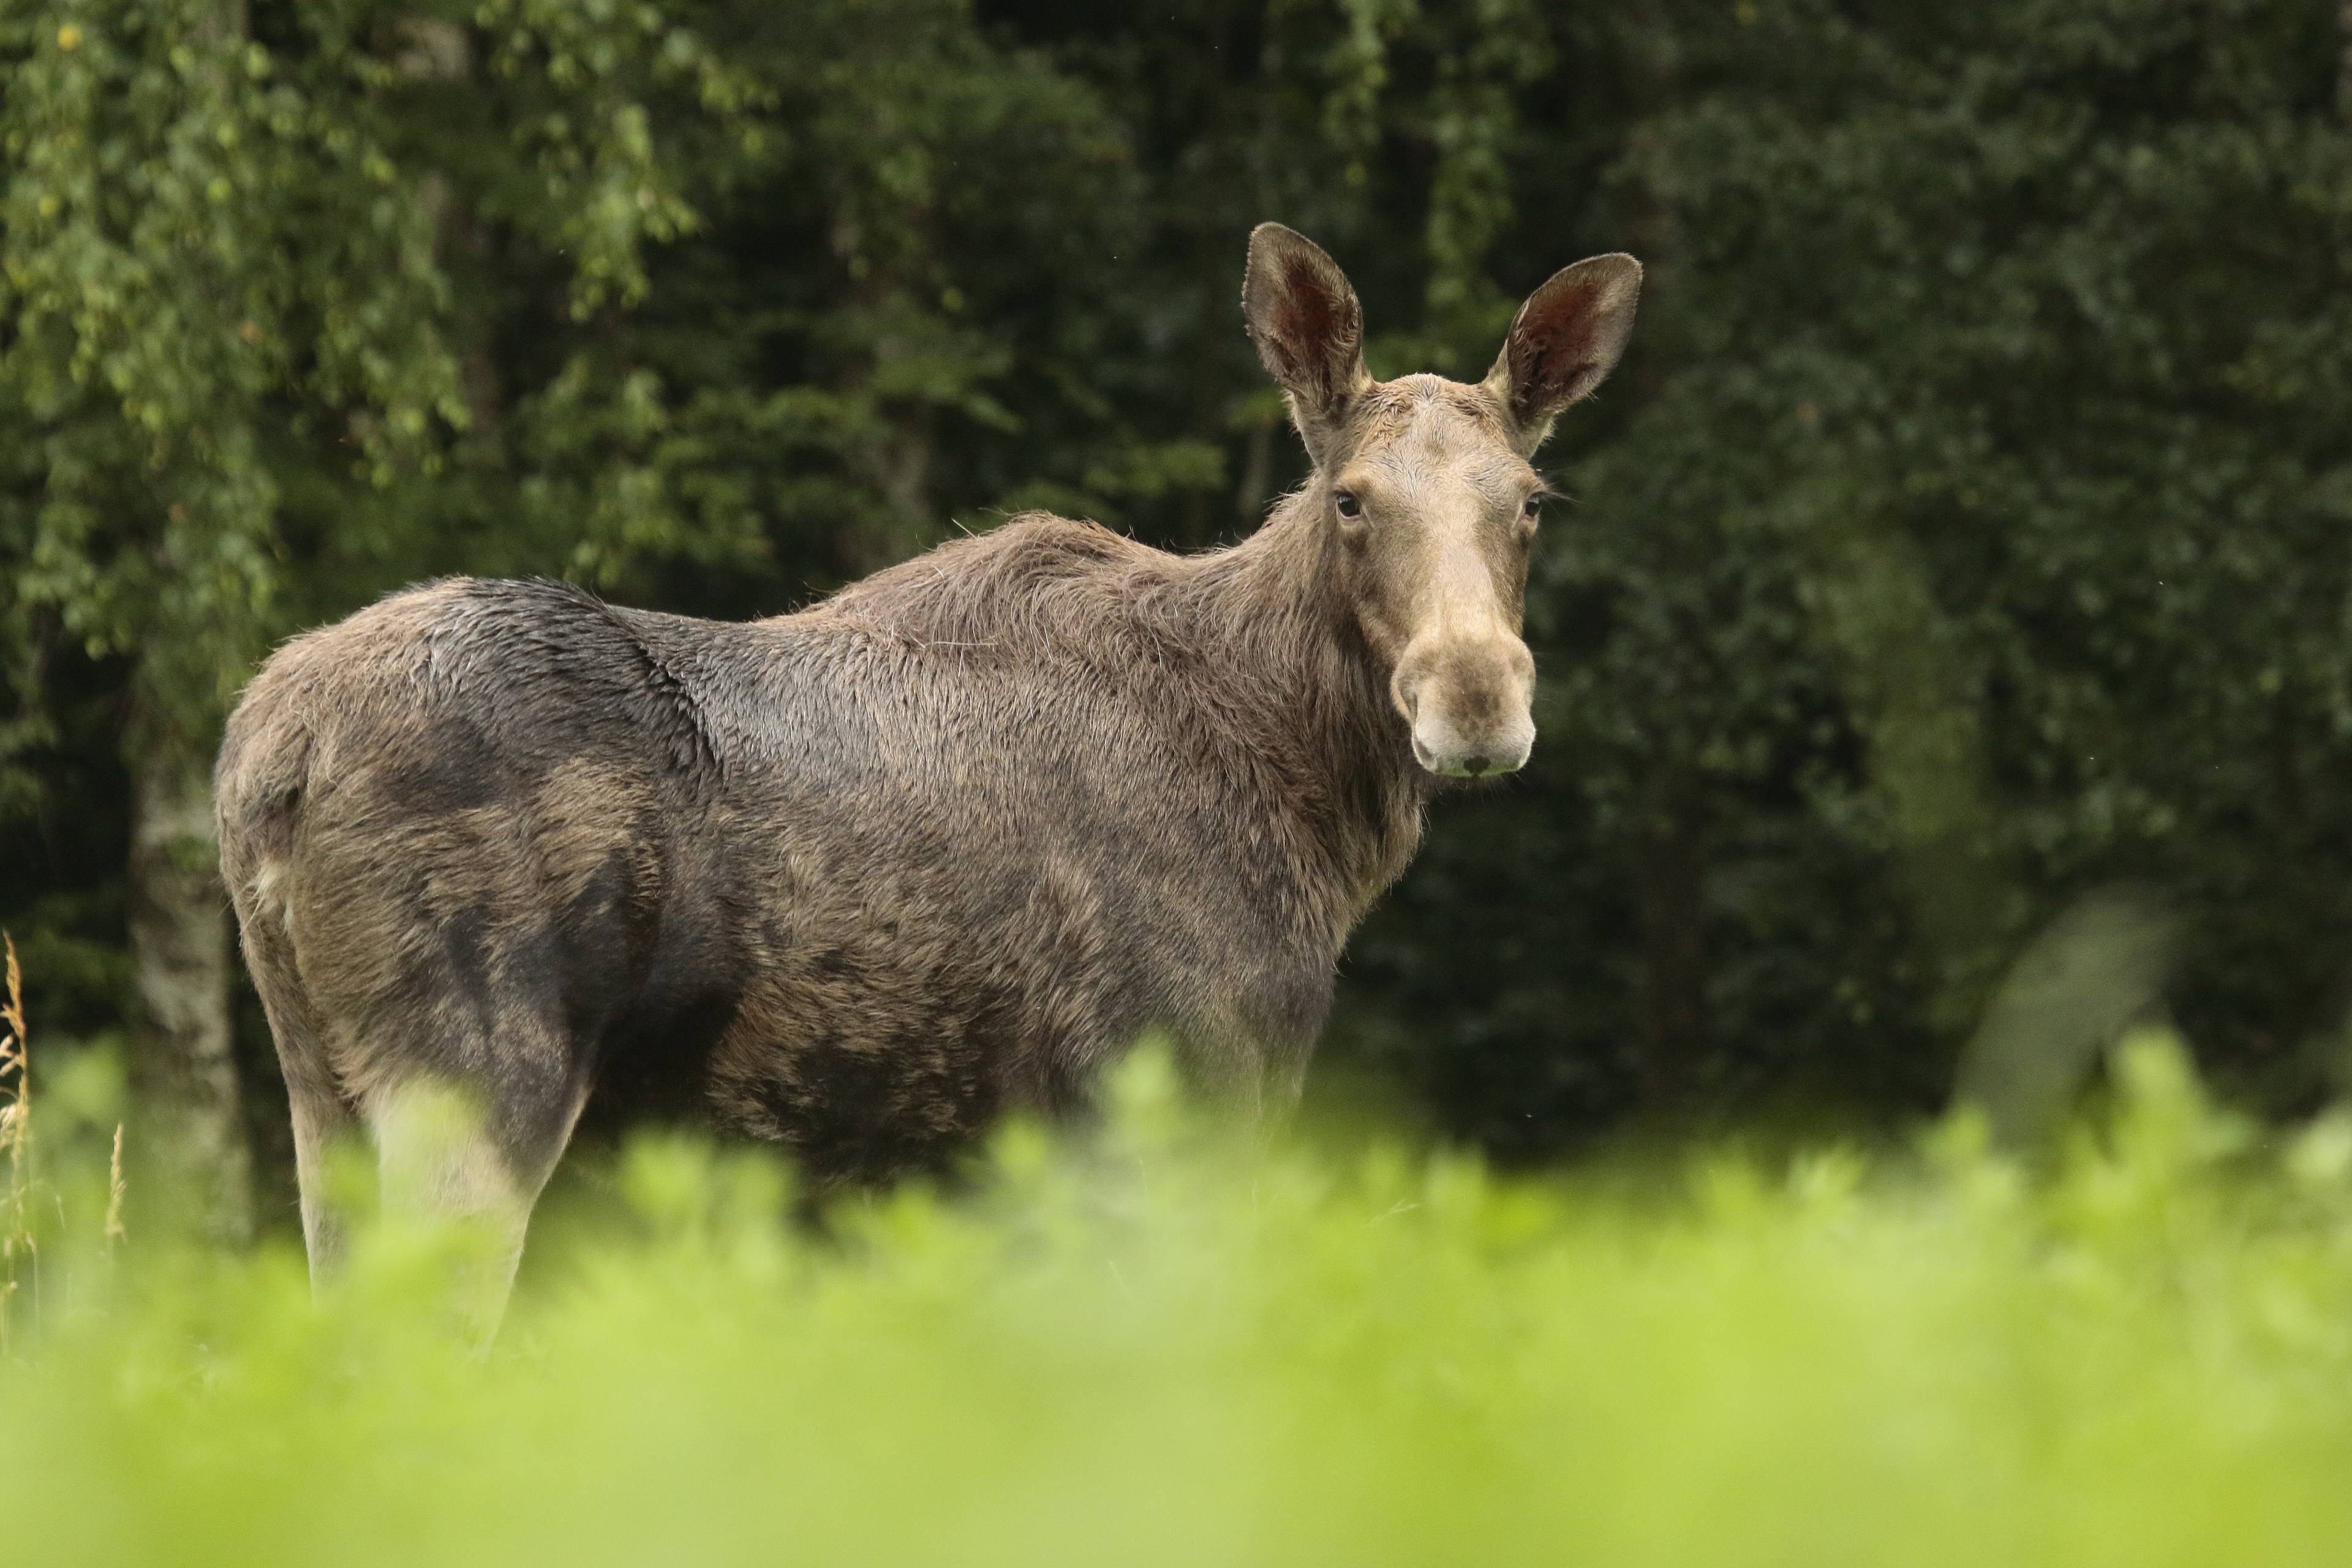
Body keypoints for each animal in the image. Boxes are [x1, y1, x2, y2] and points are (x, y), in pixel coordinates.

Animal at [224, 223, 1637, 1325]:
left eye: (1530, 500)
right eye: (1350, 498)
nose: (1477, 696)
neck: (1316, 806)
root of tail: (264, 762)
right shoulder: (1182, 1088)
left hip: (321, 1090)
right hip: (475, 1078)